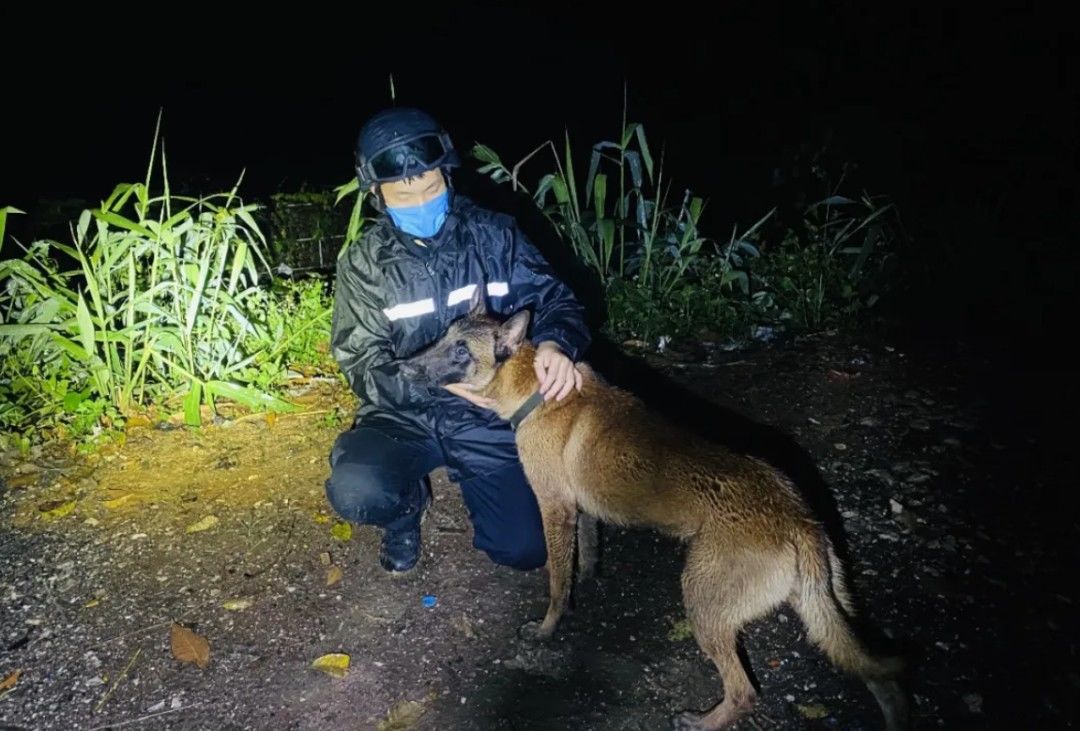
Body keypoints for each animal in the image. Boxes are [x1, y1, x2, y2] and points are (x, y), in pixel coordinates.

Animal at [401, 291, 907, 729]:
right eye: (443, 336)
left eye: (461, 350)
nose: (402, 368)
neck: (536, 388)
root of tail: (800, 521)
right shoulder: (582, 511)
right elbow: (586, 557)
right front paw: (590, 585)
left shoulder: (555, 509)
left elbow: (557, 585)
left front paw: (548, 628)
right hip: (831, 615)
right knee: (875, 673)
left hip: (702, 601)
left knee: (744, 691)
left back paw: (702, 722)